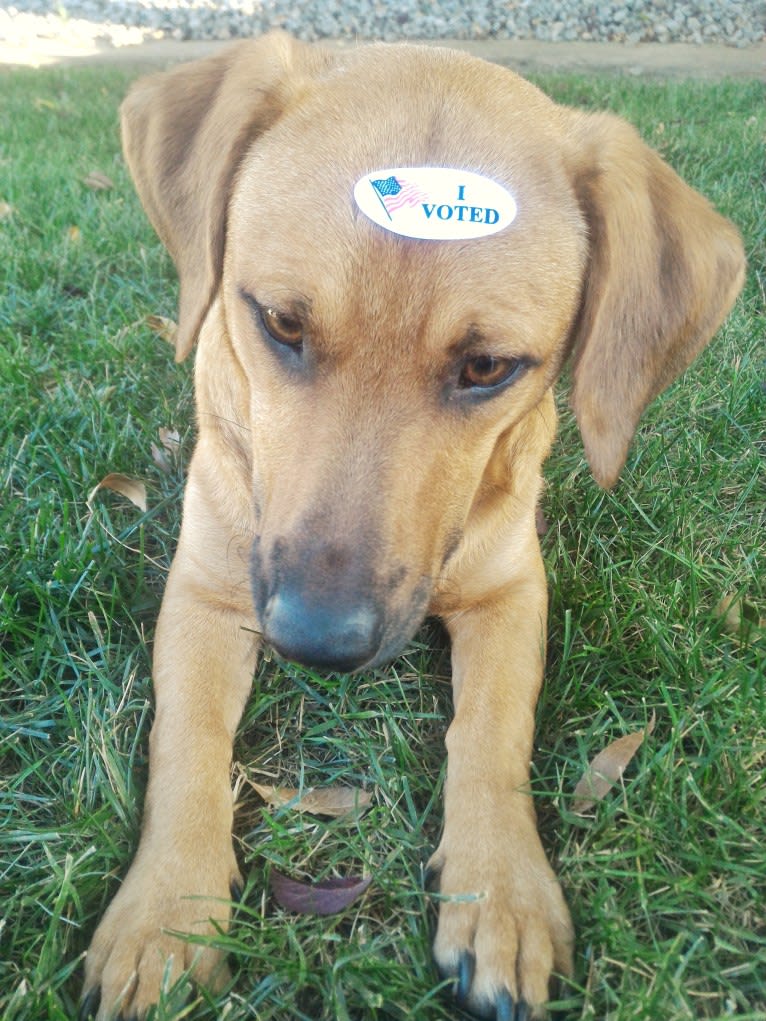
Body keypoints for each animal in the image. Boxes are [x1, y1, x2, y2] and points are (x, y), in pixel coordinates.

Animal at [81, 31, 747, 1021]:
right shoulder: (206, 588)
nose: (316, 641)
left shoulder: (511, 590)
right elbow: (186, 743)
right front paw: (166, 911)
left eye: (489, 367)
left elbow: (493, 733)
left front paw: (500, 891)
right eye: (279, 322)